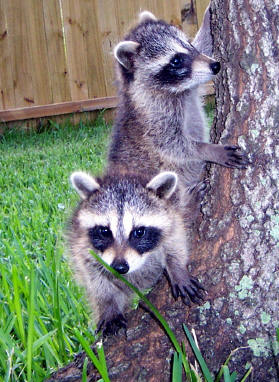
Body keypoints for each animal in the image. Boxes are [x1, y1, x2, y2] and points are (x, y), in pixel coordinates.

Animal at [68, 170, 203, 334]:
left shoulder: (171, 217)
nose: (119, 267)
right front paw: (108, 305)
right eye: (105, 231)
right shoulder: (81, 243)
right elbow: (95, 277)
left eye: (139, 232)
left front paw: (177, 270)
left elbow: (175, 241)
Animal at [109, 6, 249, 218]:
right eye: (176, 60)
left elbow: (205, 43)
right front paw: (206, 149)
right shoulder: (153, 118)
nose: (215, 65)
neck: (179, 90)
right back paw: (188, 207)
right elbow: (174, 145)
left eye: (189, 45)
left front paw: (208, 17)